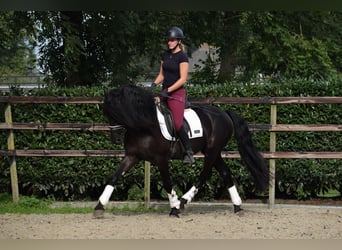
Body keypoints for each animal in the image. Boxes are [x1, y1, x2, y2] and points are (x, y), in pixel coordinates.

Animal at [93, 85, 268, 218]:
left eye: (118, 112)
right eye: (107, 113)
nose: (116, 139)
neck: (145, 127)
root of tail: (224, 113)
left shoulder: (161, 159)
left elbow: (167, 182)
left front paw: (174, 207)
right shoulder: (132, 156)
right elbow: (114, 177)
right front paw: (99, 206)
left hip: (212, 151)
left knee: (204, 175)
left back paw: (182, 202)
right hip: (214, 152)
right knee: (225, 173)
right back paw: (237, 206)